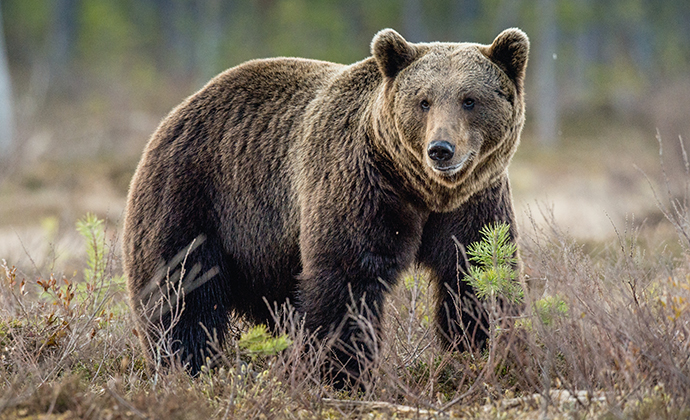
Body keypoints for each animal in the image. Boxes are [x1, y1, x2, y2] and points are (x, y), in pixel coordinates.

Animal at [122, 26, 528, 380]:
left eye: (470, 99)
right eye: (423, 101)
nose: (441, 149)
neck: (422, 190)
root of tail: (177, 111)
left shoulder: (475, 201)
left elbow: (476, 270)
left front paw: (488, 350)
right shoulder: (362, 185)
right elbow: (347, 275)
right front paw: (340, 373)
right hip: (195, 197)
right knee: (181, 289)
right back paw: (187, 364)